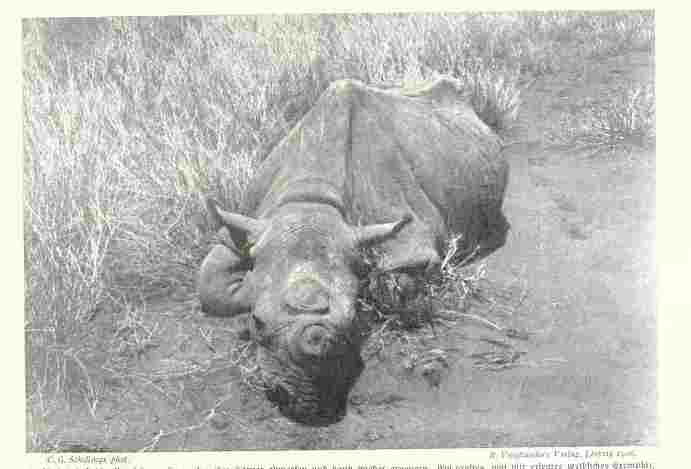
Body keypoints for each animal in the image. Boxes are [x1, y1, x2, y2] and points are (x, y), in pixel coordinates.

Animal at [198, 77, 510, 425]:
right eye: (257, 321)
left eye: (351, 323)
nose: (300, 403)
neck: (312, 198)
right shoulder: (247, 226)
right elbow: (210, 283)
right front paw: (245, 288)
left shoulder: (410, 240)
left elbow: (395, 285)